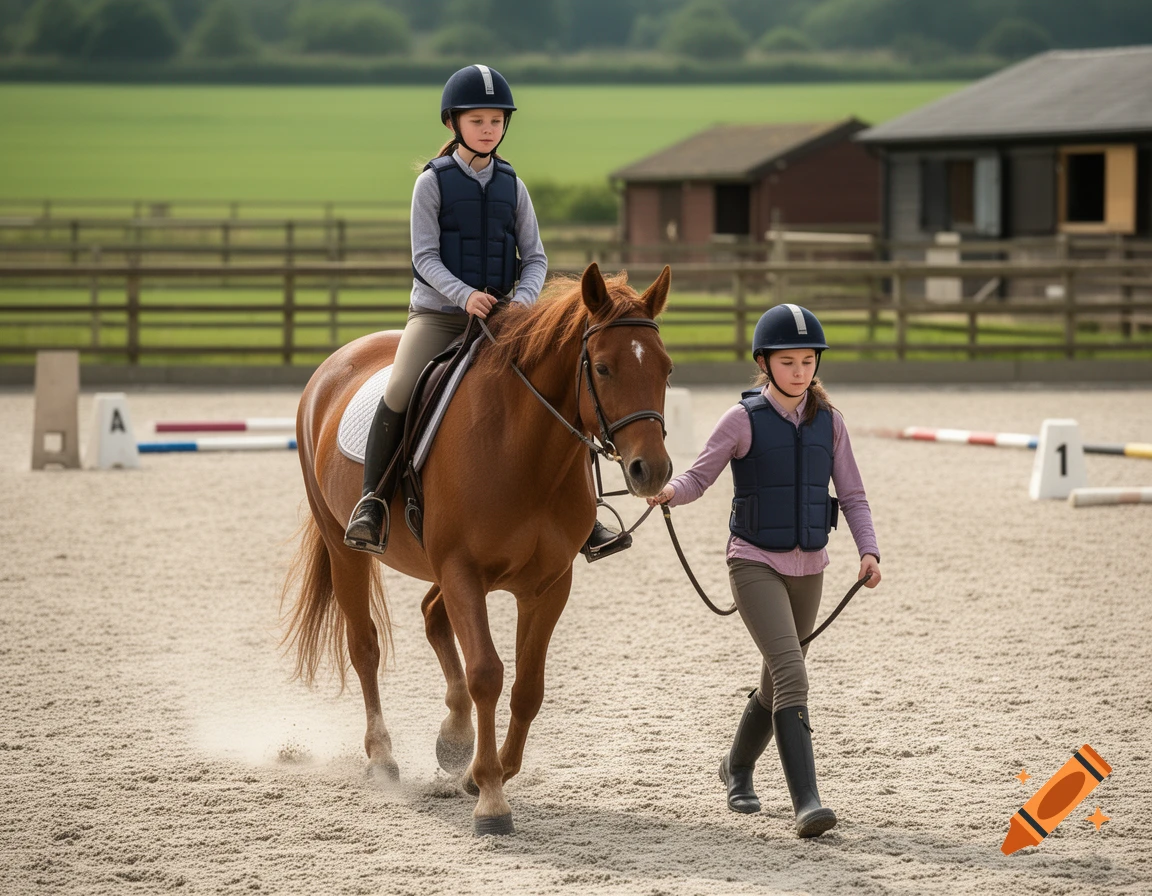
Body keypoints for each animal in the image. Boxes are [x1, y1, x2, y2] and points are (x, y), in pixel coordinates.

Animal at [282, 262, 674, 835]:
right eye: (602, 368)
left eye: (665, 369)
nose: (653, 471)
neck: (524, 449)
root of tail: (334, 364)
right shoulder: (463, 572)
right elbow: (487, 673)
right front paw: (490, 797)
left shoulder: (548, 584)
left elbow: (528, 687)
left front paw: (481, 772)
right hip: (347, 549)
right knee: (365, 646)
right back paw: (382, 756)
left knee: (431, 616)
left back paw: (454, 738)